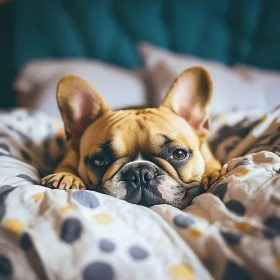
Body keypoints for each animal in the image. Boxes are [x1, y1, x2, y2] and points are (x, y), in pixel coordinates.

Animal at [41, 67, 221, 208]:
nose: (140, 173)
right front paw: (66, 177)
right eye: (99, 161)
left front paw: (213, 175)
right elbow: (65, 167)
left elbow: (213, 165)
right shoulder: (69, 157)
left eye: (178, 154)